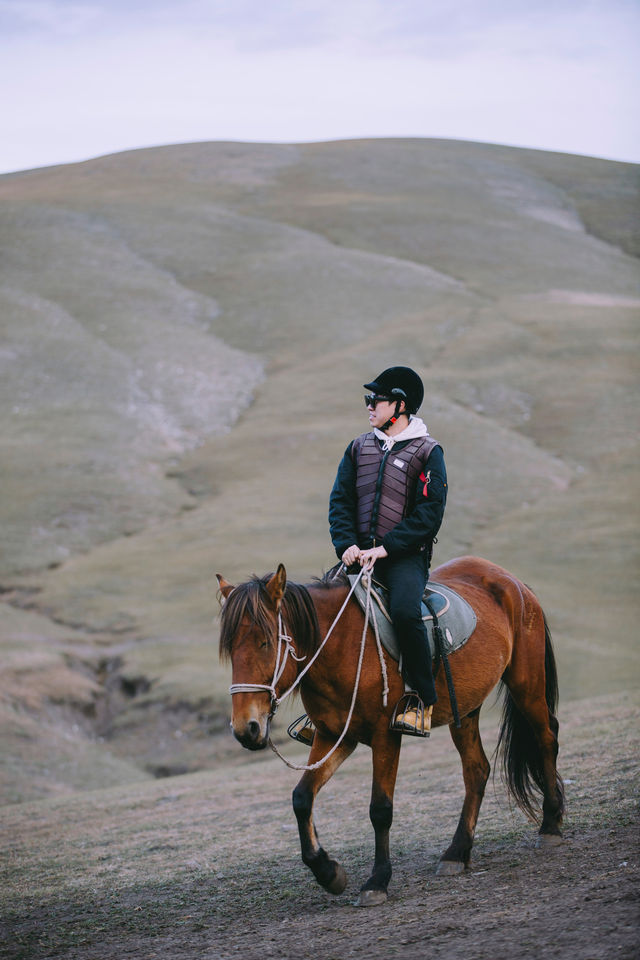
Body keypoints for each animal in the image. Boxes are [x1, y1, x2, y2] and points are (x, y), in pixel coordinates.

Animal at [218, 556, 564, 908]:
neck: (341, 645)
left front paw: (377, 881)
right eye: (230, 649)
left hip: (526, 685)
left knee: (546, 740)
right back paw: (457, 852)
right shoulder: (334, 736)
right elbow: (301, 798)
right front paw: (329, 873)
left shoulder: (385, 735)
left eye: (265, 642)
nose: (246, 728)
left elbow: (380, 809)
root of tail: (510, 581)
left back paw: (551, 825)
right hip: (465, 710)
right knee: (476, 770)